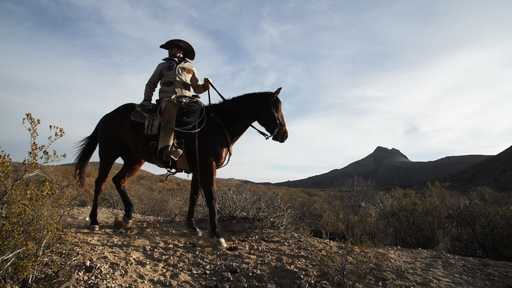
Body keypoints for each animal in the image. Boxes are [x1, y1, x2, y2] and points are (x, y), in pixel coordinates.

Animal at [74, 88, 288, 248]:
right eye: (275, 108)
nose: (284, 135)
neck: (219, 124)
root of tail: (107, 116)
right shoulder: (208, 165)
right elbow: (211, 198)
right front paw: (217, 235)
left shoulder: (198, 168)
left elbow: (194, 196)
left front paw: (192, 226)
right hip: (108, 153)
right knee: (100, 183)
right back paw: (94, 221)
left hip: (134, 159)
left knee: (119, 180)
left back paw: (127, 216)